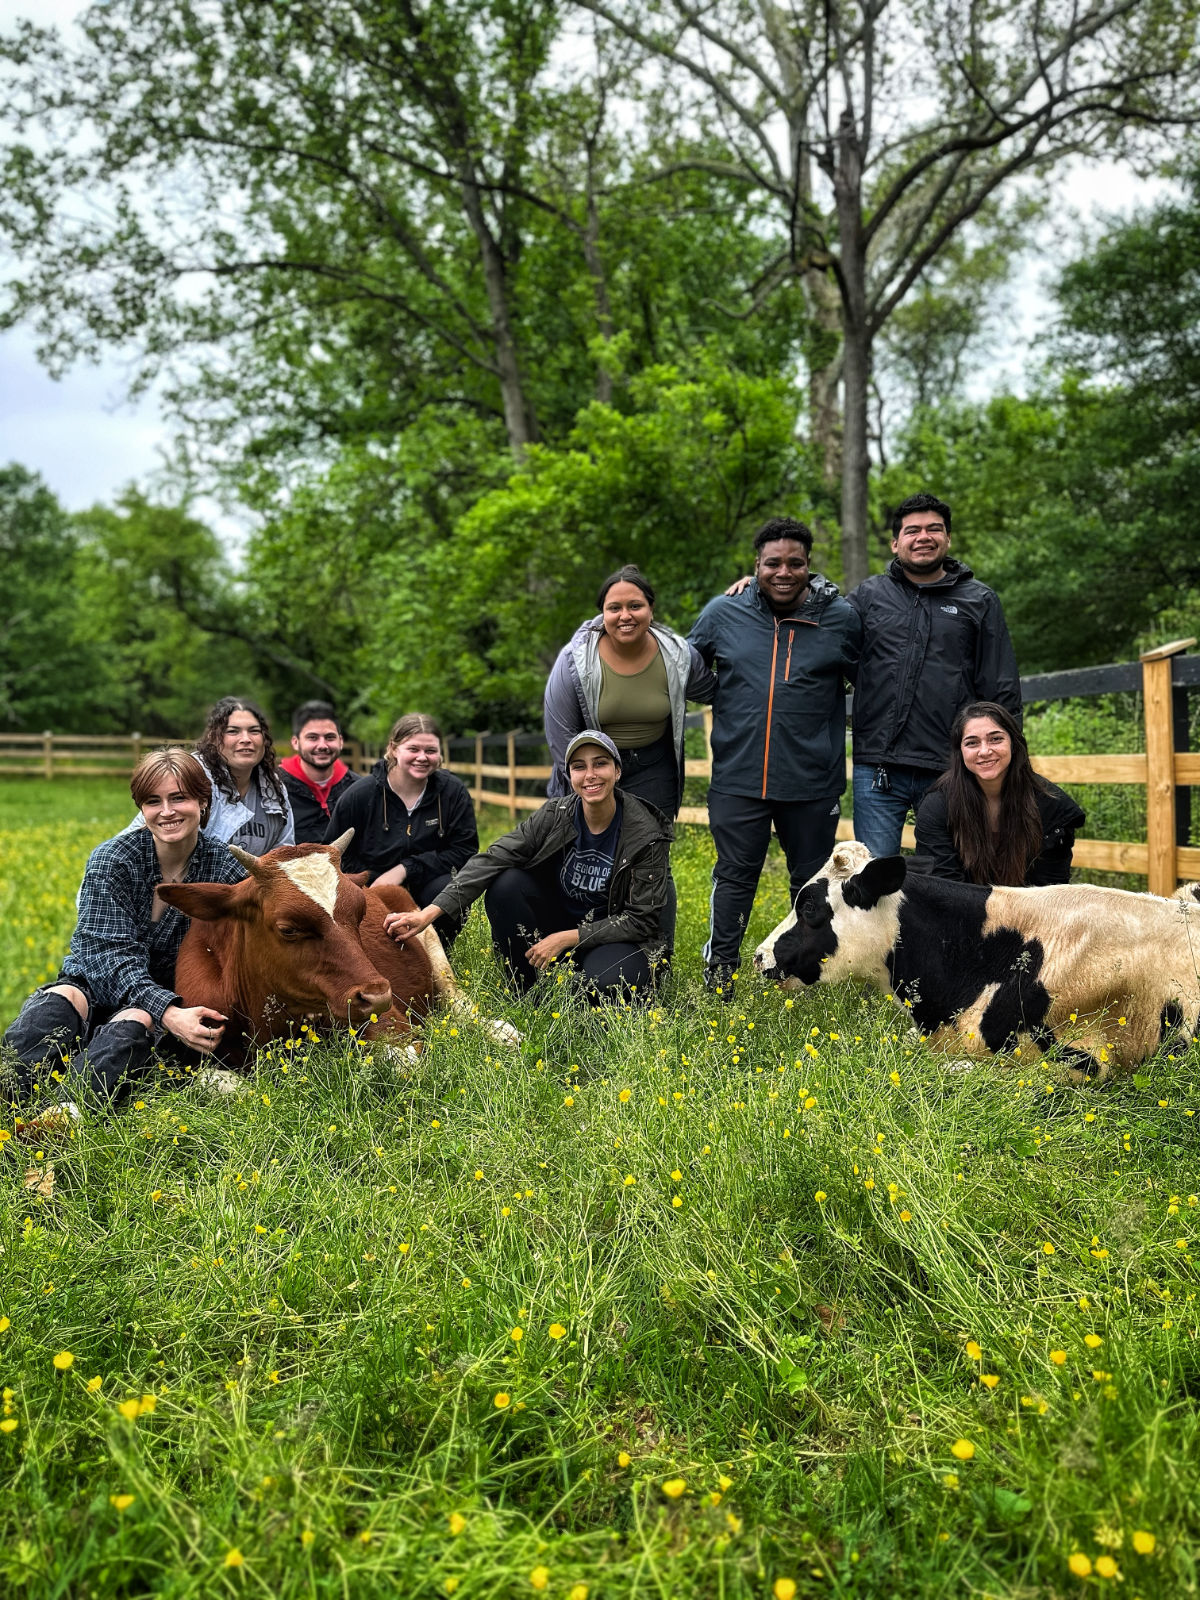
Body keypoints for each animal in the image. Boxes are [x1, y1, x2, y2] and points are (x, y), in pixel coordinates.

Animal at [158, 825, 518, 1062]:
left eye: (360, 913)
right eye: (288, 929)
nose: (377, 995)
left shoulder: (391, 1023)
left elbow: (404, 1063)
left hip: (427, 936)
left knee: (457, 1001)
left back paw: (500, 1031)